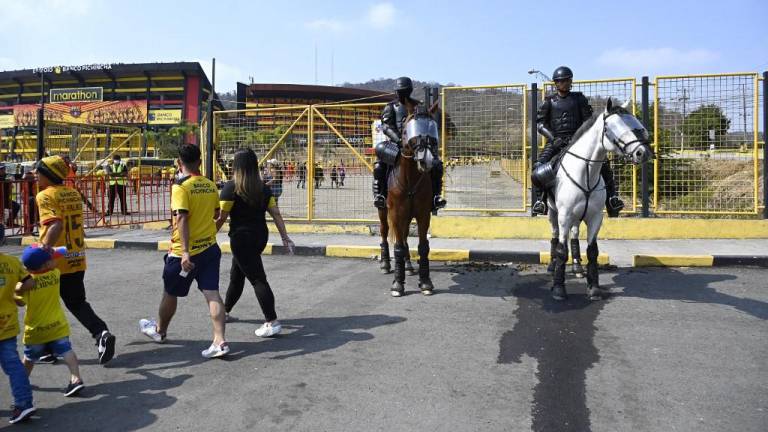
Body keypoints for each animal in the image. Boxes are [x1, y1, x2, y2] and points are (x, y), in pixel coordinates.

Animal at [384, 108, 438, 296]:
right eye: (408, 131)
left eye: (433, 129)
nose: (427, 160)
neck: (409, 180)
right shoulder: (396, 214)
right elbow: (398, 247)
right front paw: (397, 284)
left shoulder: (423, 215)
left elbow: (423, 247)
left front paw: (425, 282)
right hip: (384, 212)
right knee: (385, 232)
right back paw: (385, 264)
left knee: (406, 236)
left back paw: (408, 266)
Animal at [544, 98, 652, 300]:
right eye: (612, 126)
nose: (643, 152)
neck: (585, 173)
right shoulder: (564, 216)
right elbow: (561, 250)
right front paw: (558, 288)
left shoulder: (595, 217)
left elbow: (592, 251)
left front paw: (593, 287)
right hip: (554, 214)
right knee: (555, 237)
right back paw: (552, 266)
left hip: (577, 217)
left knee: (574, 235)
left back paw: (577, 266)